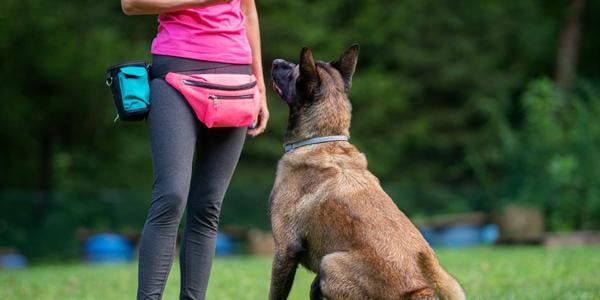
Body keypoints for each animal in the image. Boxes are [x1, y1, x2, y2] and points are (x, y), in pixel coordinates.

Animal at [268, 45, 468, 300]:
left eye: (294, 70)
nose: (275, 61)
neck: (322, 140)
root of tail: (420, 291)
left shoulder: (285, 249)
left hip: (329, 263)